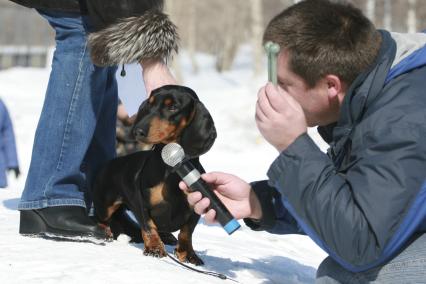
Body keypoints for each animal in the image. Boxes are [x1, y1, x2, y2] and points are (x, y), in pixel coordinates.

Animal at [91, 84, 215, 264]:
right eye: (149, 104)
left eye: (173, 107)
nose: (138, 131)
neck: (171, 170)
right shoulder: (141, 203)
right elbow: (149, 226)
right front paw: (155, 248)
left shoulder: (197, 206)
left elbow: (187, 232)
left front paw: (188, 254)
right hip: (105, 205)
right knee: (100, 218)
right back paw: (104, 231)